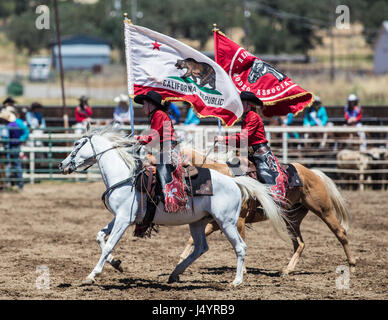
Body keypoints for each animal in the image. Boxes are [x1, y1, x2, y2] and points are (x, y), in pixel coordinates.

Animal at [57, 126, 288, 286]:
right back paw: (174, 273)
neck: (126, 177)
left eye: (77, 144)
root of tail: (234, 181)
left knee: (240, 247)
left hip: (227, 222)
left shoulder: (124, 219)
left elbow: (108, 245)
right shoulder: (120, 217)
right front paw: (117, 263)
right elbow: (100, 237)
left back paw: (237, 281)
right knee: (201, 247)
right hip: (198, 222)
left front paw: (92, 275)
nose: (61, 164)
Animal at [177, 148, 356, 276]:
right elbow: (193, 239)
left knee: (340, 232)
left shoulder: (240, 220)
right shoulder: (218, 222)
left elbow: (240, 242)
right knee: (299, 243)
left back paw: (352, 265)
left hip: (324, 210)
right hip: (292, 218)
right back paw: (287, 270)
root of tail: (313, 173)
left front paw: (243, 270)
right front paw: (181, 261)